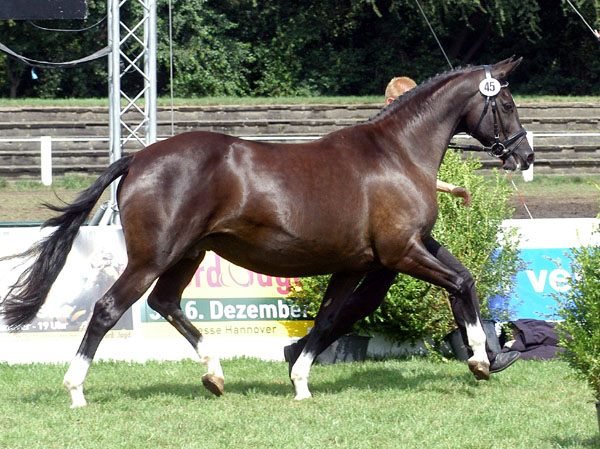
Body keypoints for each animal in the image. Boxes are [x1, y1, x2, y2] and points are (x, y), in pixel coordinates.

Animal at [1, 57, 536, 404]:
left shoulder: (365, 260)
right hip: (152, 257)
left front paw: (299, 380)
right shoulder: (401, 253)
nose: (525, 155)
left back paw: (215, 375)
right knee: (109, 308)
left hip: (188, 254)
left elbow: (331, 316)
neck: (396, 154)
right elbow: (460, 281)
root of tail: (139, 158)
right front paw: (480, 360)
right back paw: (76, 390)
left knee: (166, 303)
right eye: (507, 103)